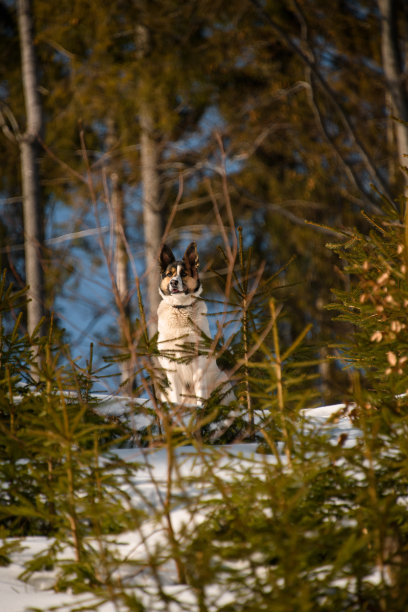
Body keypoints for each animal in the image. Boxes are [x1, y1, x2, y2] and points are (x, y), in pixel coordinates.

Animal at [157, 240, 233, 406]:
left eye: (184, 274)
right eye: (169, 274)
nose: (173, 282)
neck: (181, 308)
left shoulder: (198, 357)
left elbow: (200, 390)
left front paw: (201, 408)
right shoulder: (170, 361)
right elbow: (176, 393)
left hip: (223, 382)